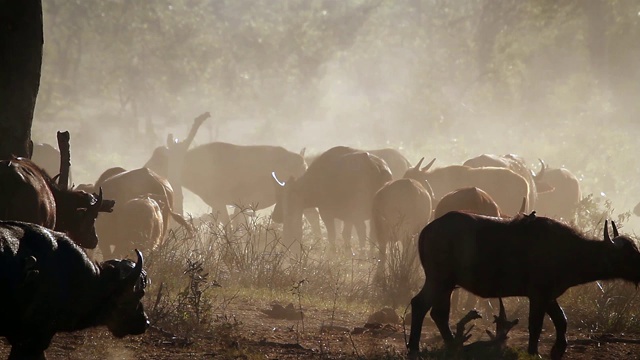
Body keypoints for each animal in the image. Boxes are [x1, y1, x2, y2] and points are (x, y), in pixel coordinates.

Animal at [410, 211, 640, 360]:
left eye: (635, 251)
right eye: (628, 256)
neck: (568, 250)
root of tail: (427, 229)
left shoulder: (549, 295)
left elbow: (562, 321)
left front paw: (558, 350)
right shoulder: (538, 294)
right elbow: (536, 325)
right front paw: (534, 352)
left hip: (445, 284)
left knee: (435, 312)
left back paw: (450, 346)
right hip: (439, 280)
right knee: (422, 306)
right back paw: (419, 347)